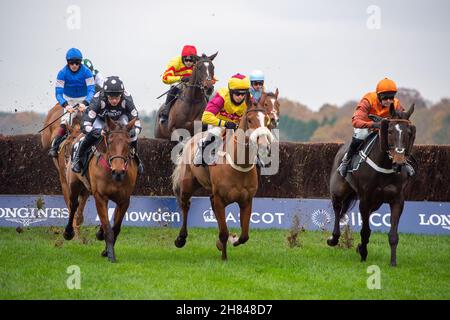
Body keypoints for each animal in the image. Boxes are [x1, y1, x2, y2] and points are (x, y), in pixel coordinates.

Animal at [63, 116, 137, 262]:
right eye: (110, 141)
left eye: (128, 143)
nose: (119, 172)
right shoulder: (100, 197)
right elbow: (109, 228)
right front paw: (111, 255)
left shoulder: (124, 200)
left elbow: (116, 228)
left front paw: (105, 250)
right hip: (74, 184)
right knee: (73, 205)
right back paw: (68, 232)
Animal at [171, 93, 274, 260]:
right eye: (250, 119)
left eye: (267, 119)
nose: (265, 146)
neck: (239, 166)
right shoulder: (220, 199)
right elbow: (224, 232)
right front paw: (224, 256)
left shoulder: (246, 200)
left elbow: (244, 235)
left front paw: (231, 241)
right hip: (188, 184)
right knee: (185, 205)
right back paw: (181, 238)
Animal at [326, 104, 414, 266]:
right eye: (389, 131)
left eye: (409, 133)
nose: (399, 162)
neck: (385, 166)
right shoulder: (365, 198)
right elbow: (365, 231)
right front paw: (363, 254)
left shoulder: (397, 200)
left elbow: (393, 234)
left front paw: (393, 262)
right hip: (338, 190)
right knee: (337, 208)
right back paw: (333, 238)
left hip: (376, 202)